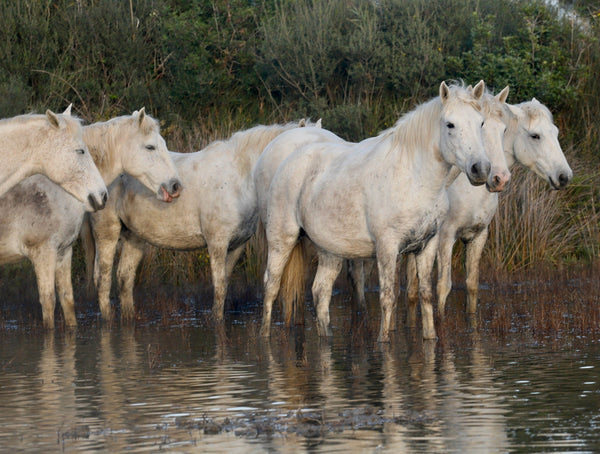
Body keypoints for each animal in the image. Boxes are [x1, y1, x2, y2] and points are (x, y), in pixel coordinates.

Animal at [0, 108, 183, 326]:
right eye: (150, 147)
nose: (175, 186)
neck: (57, 191)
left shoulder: (63, 252)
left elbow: (68, 301)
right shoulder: (43, 253)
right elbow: (49, 304)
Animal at [82, 119, 310, 320]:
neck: (239, 178)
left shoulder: (236, 246)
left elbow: (225, 284)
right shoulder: (217, 243)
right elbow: (219, 288)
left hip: (134, 237)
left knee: (125, 279)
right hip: (107, 232)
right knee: (103, 279)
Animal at [260, 80, 490, 340]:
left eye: (481, 122)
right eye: (450, 124)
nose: (480, 169)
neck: (415, 178)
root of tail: (289, 159)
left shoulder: (427, 246)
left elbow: (425, 294)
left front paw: (430, 337)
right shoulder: (387, 247)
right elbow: (388, 298)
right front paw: (384, 340)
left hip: (330, 251)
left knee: (320, 293)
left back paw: (326, 336)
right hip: (281, 240)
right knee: (271, 286)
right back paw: (264, 336)